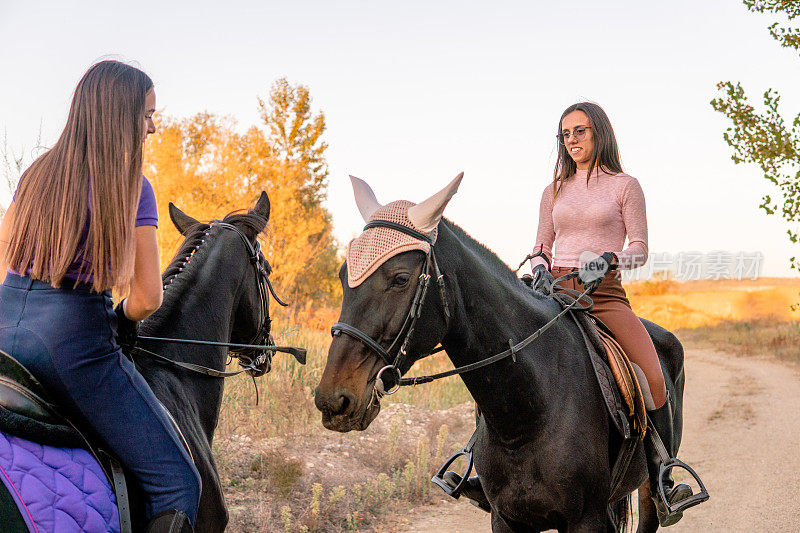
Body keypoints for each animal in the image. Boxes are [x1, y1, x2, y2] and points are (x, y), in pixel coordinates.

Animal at [318, 180, 688, 532]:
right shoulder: (505, 518)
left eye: (400, 279)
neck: (527, 412)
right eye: (342, 275)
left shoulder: (587, 519)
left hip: (647, 492)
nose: (333, 399)